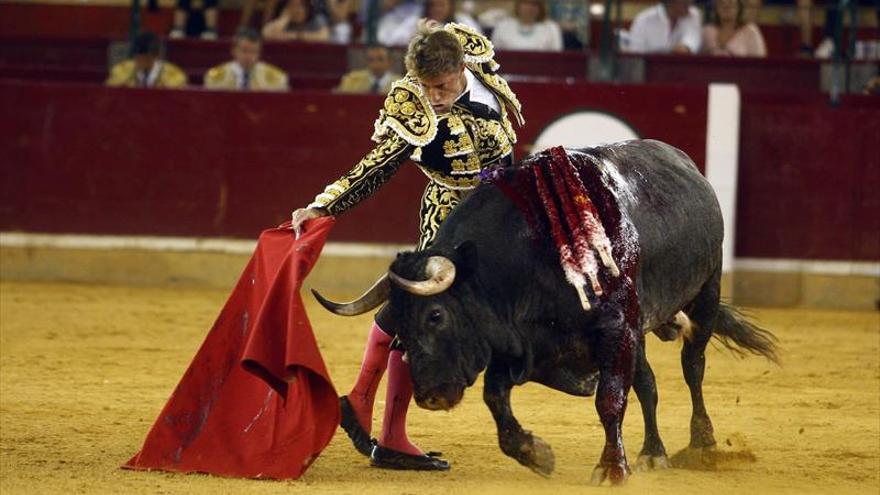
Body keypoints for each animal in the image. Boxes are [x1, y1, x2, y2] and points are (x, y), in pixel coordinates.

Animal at [312, 140, 772, 484]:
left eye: (436, 316)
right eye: (400, 327)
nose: (430, 396)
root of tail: (685, 162)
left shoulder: (615, 329)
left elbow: (609, 400)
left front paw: (611, 469)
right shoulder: (518, 341)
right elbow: (496, 396)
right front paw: (535, 454)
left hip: (705, 292)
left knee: (692, 366)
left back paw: (701, 444)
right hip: (641, 329)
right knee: (648, 384)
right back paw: (653, 452)